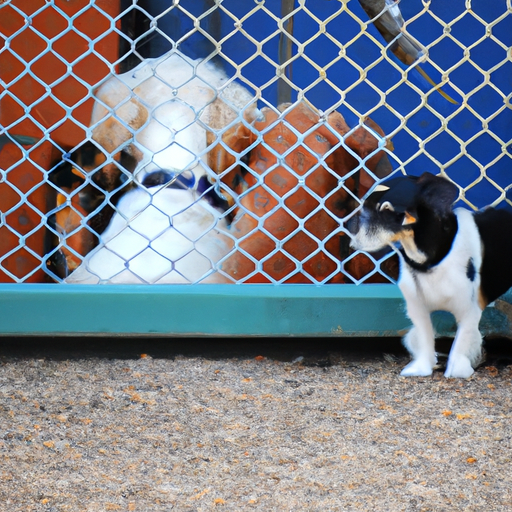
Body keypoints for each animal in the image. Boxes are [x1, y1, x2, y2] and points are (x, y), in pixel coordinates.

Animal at [350, 174, 512, 378]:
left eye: (385, 211)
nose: (351, 241)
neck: (428, 262)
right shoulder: (417, 308)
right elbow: (425, 338)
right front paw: (421, 368)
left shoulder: (469, 312)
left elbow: (460, 345)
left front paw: (456, 370)